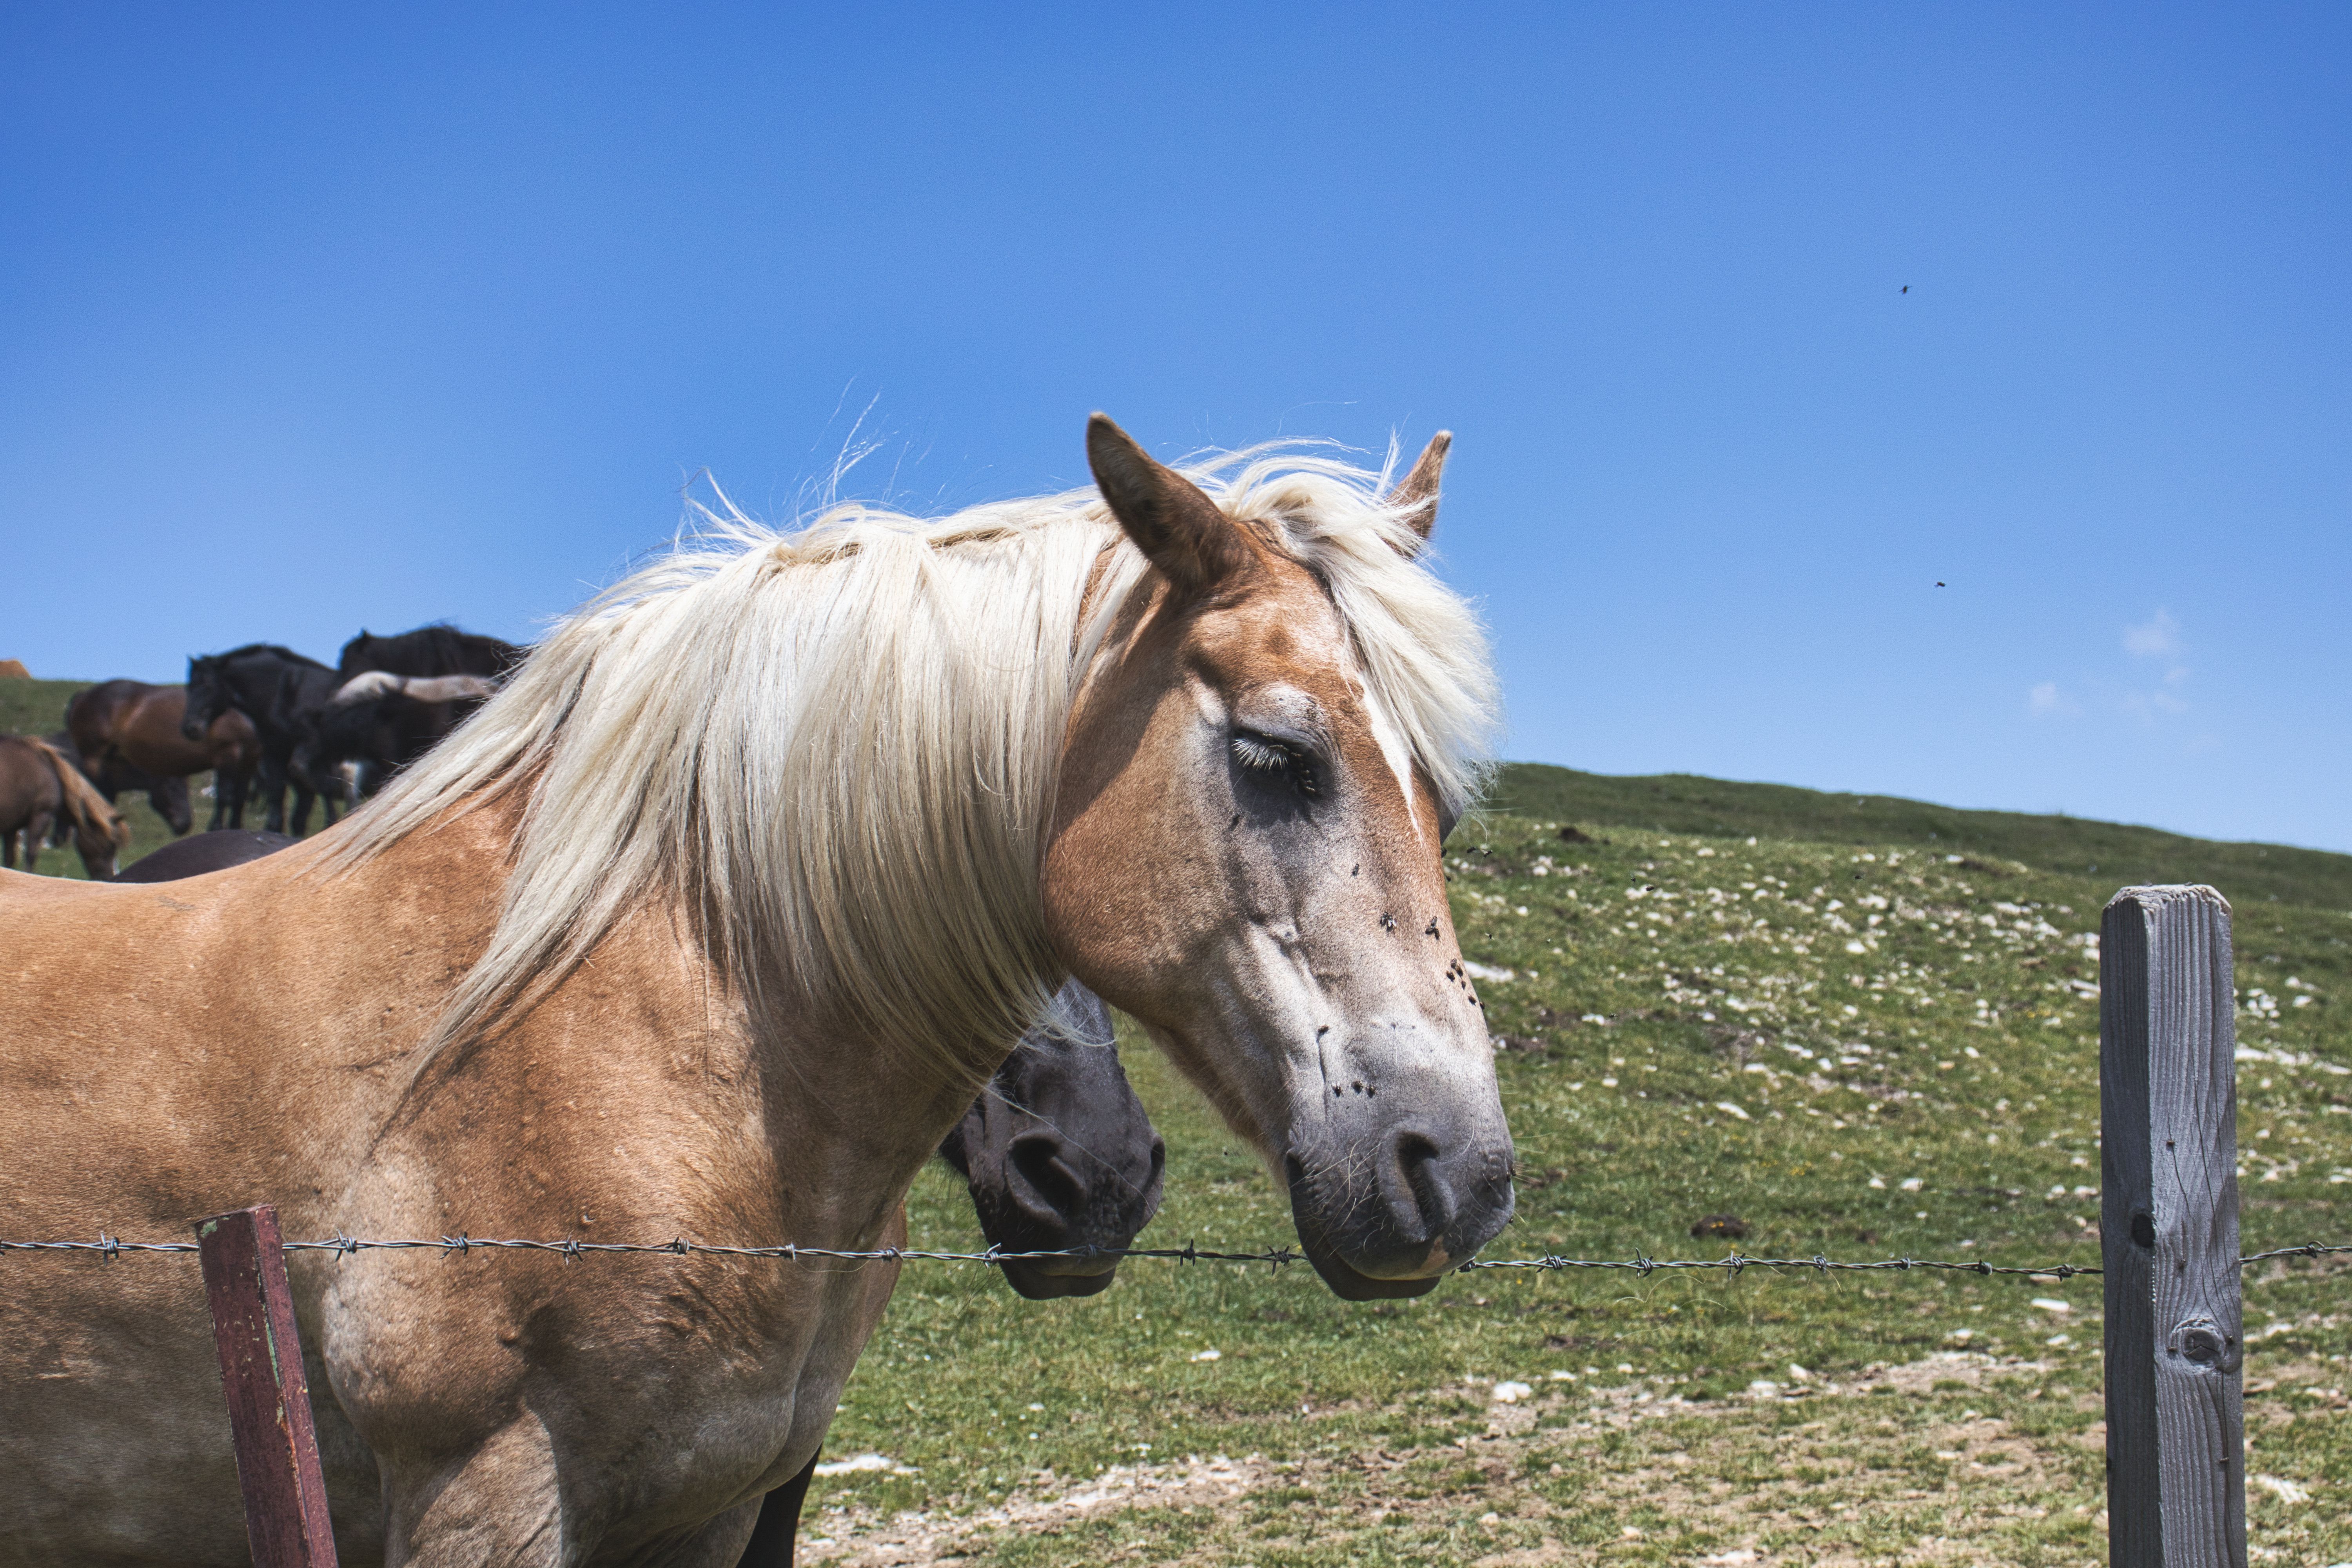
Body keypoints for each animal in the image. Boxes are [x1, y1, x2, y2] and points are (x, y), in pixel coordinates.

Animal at [0, 734, 129, 879]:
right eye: (110, 846)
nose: (110, 878)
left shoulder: (12, 829)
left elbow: (9, 861)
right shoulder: (41, 816)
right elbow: (30, 856)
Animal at [61, 681, 260, 835]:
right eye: (173, 788)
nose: (185, 825)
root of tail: (82, 697)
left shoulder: (249, 762)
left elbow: (240, 797)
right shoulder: (227, 755)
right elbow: (225, 796)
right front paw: (217, 828)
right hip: (94, 758)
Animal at [180, 644, 346, 836]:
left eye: (208, 685)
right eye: (190, 687)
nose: (190, 728)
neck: (284, 692)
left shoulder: (317, 749)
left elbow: (323, 786)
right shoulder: (274, 755)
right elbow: (278, 797)